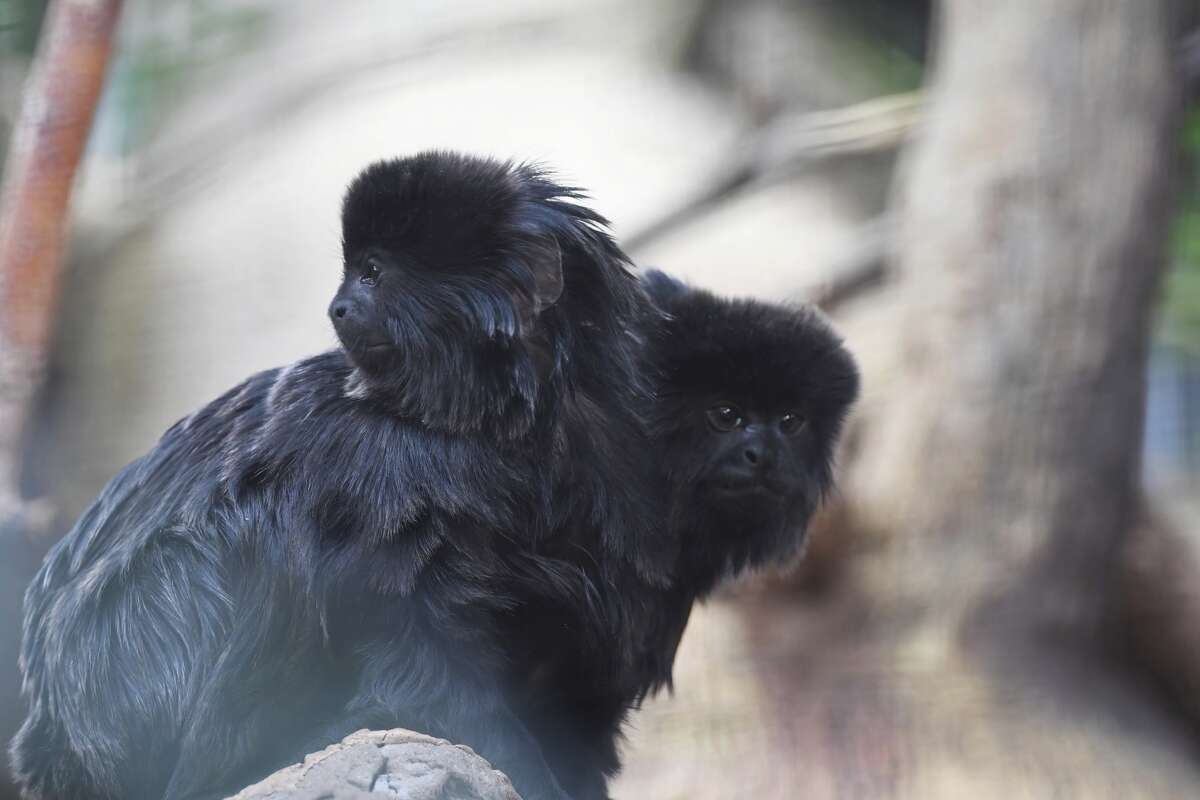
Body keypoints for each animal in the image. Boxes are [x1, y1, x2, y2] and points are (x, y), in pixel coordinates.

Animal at [9, 151, 667, 800]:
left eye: (372, 273)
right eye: (353, 274)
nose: (337, 307)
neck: (481, 432)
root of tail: (52, 739)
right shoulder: (363, 466)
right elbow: (420, 668)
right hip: (130, 658)